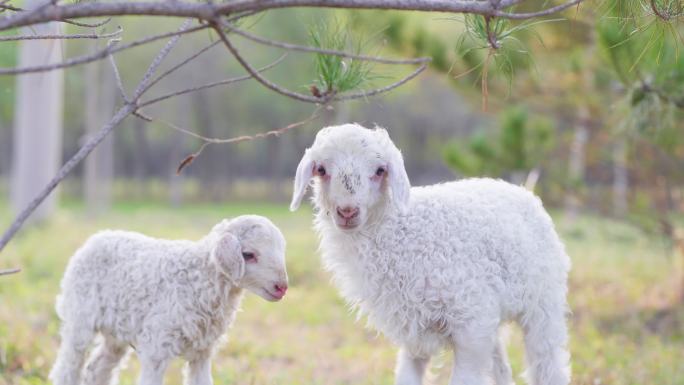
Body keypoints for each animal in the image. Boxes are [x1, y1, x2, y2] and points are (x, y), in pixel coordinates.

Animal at [48, 214, 288, 384]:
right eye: (248, 255)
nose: (282, 287)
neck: (201, 279)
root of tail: (95, 238)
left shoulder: (202, 352)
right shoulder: (157, 347)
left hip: (116, 332)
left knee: (98, 369)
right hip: (79, 318)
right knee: (68, 368)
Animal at [290, 124, 572, 384]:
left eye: (380, 171)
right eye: (321, 170)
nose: (347, 211)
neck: (402, 233)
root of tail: (523, 191)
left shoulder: (470, 323)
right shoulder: (414, 332)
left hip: (543, 303)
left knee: (548, 362)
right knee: (501, 368)